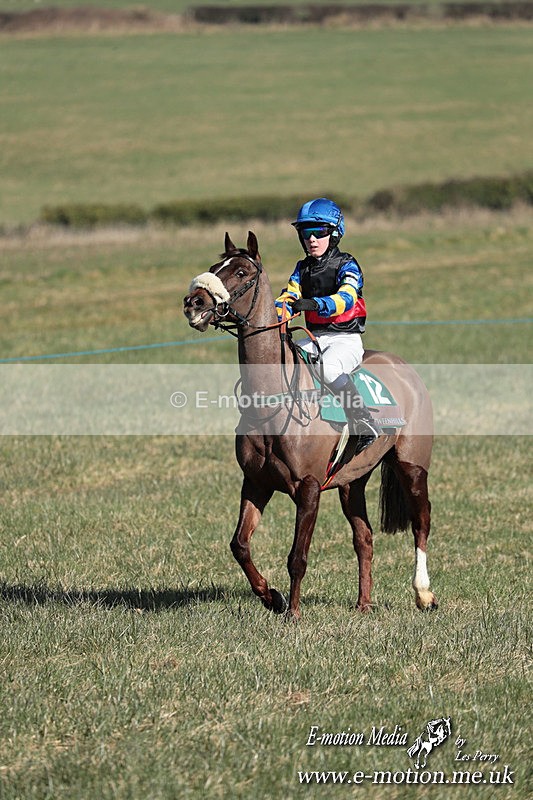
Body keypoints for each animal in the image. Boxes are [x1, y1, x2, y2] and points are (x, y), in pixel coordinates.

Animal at [183, 231, 437, 620]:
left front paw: (293, 613)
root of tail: (405, 367)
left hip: (412, 466)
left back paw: (424, 594)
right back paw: (364, 604)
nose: (193, 302)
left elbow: (297, 557)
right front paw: (271, 597)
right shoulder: (256, 482)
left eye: (241, 272)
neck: (274, 403)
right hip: (351, 481)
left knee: (421, 524)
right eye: (215, 267)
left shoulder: (309, 487)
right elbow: (239, 544)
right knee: (364, 537)